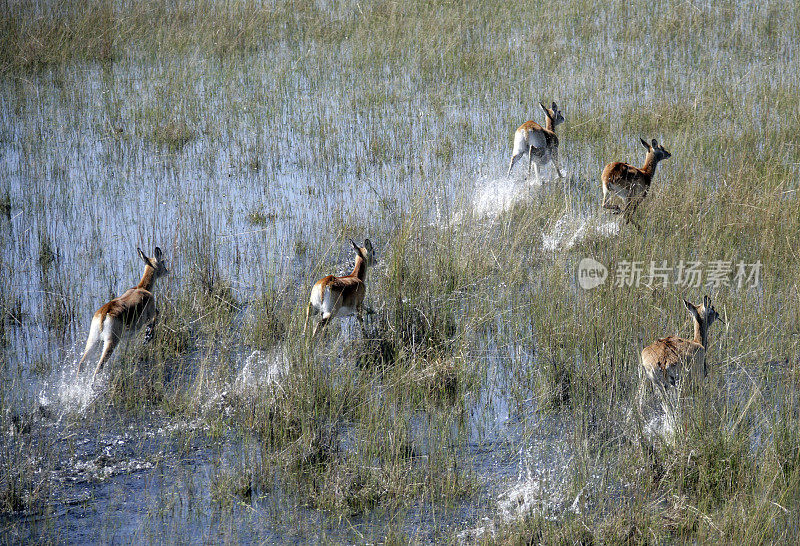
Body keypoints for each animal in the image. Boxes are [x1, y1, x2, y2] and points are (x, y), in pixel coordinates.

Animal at [78, 244, 169, 380]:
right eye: (162, 262)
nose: (167, 271)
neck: (141, 288)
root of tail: (104, 313)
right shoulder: (150, 313)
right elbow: (156, 315)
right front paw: (147, 337)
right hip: (110, 343)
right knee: (98, 368)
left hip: (93, 341)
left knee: (81, 364)